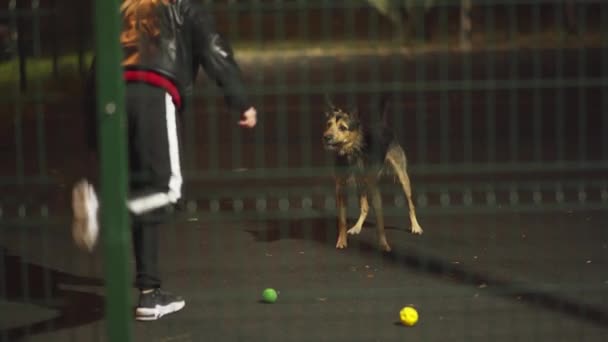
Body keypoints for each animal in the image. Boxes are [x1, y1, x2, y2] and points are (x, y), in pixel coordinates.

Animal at [324, 97, 422, 252]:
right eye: (328, 125)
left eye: (343, 128)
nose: (326, 137)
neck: (352, 152)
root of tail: (382, 124)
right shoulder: (340, 189)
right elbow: (342, 220)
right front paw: (341, 241)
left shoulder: (374, 188)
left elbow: (380, 223)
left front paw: (384, 245)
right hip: (361, 184)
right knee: (364, 207)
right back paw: (357, 227)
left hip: (403, 179)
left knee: (410, 204)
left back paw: (416, 226)